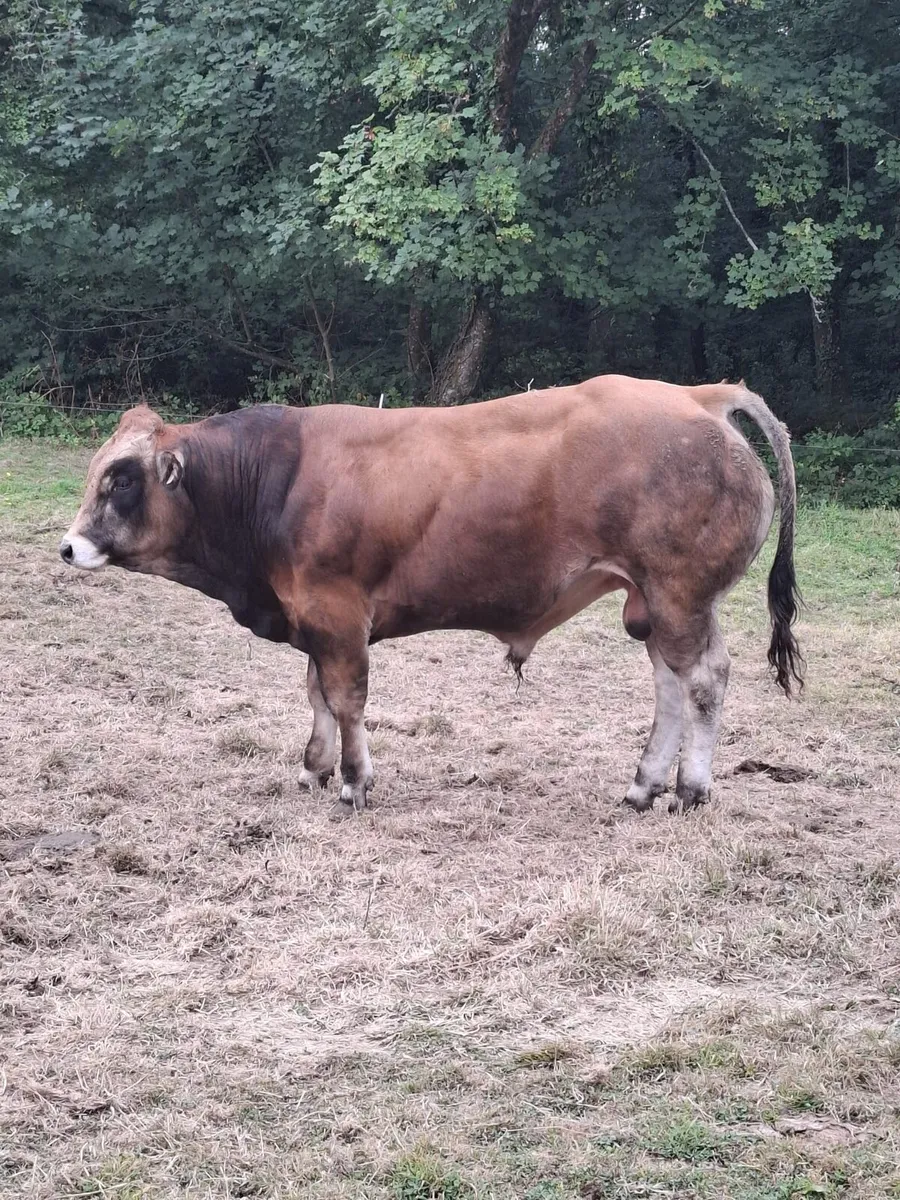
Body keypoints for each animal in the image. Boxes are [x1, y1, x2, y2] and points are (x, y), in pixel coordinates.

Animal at [60, 375, 802, 814]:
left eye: (120, 479)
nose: (68, 547)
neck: (274, 477)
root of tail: (697, 395)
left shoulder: (338, 613)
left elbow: (346, 700)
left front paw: (353, 780)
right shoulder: (313, 619)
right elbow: (317, 695)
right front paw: (315, 768)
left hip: (680, 596)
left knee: (703, 682)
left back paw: (691, 788)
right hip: (652, 604)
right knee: (671, 686)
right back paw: (645, 784)